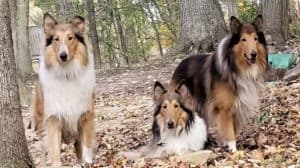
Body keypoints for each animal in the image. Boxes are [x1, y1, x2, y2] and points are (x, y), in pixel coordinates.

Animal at [31, 13, 95, 165]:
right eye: (56, 39)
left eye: (70, 38)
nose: (63, 55)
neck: (67, 74)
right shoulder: (54, 118)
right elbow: (55, 154)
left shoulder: (84, 116)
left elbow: (86, 149)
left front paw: (88, 162)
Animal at [170, 16, 268, 152]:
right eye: (243, 39)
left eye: (256, 39)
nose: (254, 54)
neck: (235, 68)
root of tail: (180, 63)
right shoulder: (224, 109)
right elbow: (229, 131)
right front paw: (234, 151)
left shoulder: (237, 107)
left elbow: (233, 130)